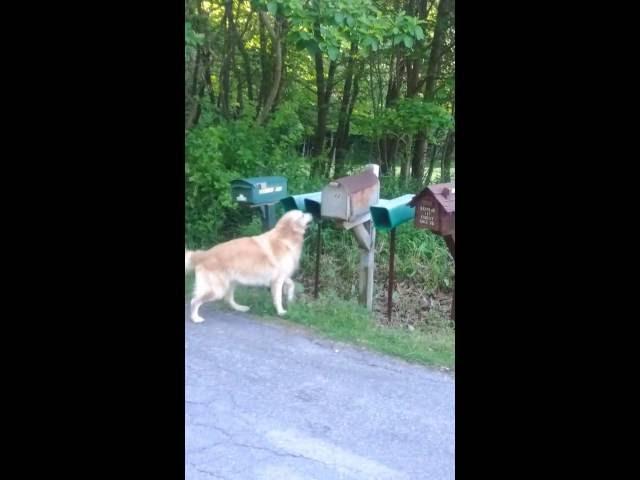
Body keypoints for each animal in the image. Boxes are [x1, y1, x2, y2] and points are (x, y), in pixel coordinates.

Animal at [184, 209, 314, 322]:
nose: (311, 213)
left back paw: (240, 308)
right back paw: (195, 318)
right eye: (302, 215)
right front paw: (281, 311)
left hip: (231, 283)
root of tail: (204, 254)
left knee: (228, 299)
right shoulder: (277, 280)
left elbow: (291, 284)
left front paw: (291, 299)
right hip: (217, 290)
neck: (284, 237)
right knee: (194, 301)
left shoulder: (281, 276)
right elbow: (278, 298)